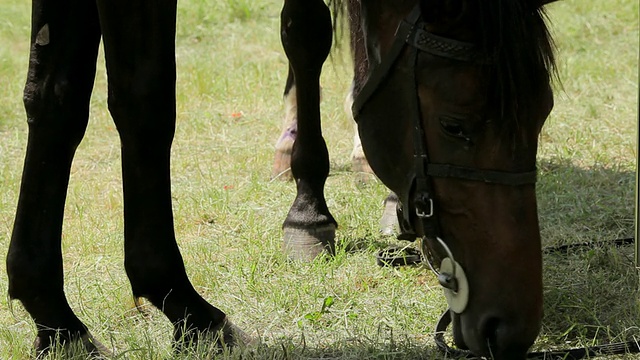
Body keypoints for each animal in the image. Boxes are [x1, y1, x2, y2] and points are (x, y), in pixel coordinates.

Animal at [5, 0, 556, 360]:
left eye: (544, 112)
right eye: (455, 125)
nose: (510, 326)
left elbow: (58, 98)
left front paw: (54, 316)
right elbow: (113, 101)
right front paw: (180, 305)